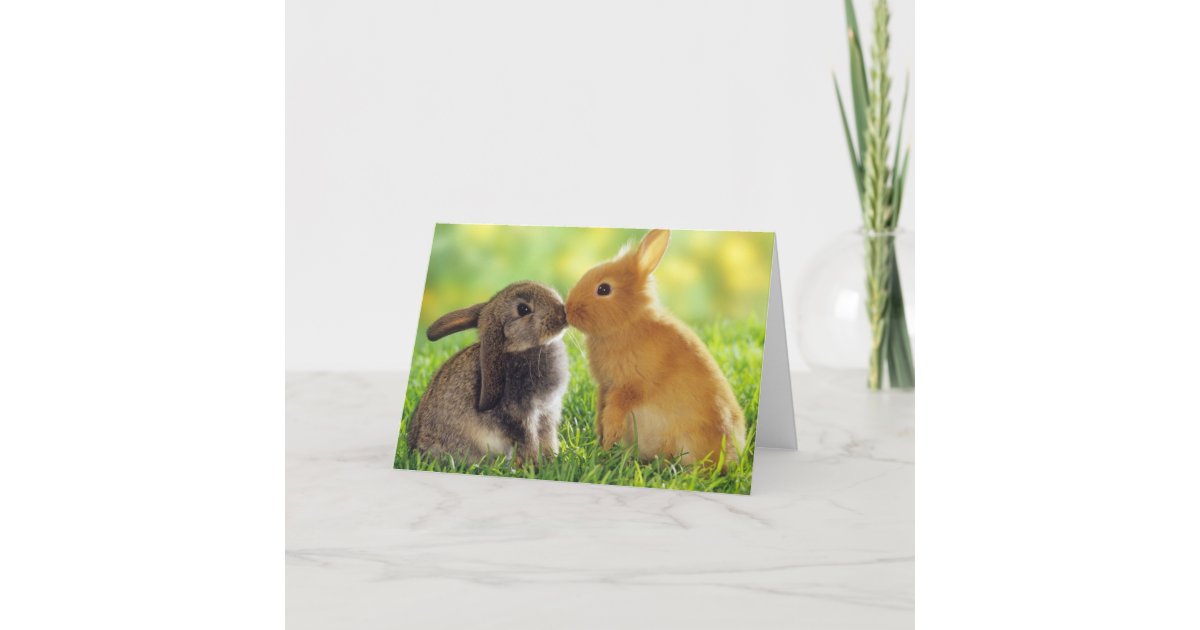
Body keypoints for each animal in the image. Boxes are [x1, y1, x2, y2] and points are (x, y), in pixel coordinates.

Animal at [406, 281, 569, 465]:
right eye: (523, 309)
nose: (562, 313)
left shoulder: (547, 412)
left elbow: (548, 439)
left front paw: (552, 460)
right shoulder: (521, 416)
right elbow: (529, 441)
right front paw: (535, 465)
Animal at [565, 229, 746, 467]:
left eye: (604, 289)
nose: (567, 310)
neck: (627, 323)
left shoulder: (629, 386)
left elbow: (614, 412)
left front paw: (607, 442)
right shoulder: (605, 386)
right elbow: (601, 411)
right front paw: (601, 440)